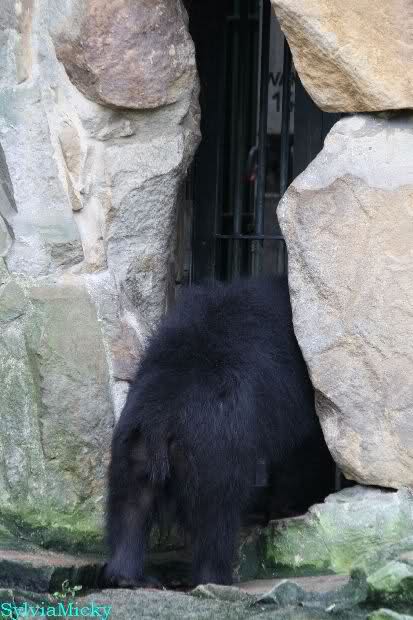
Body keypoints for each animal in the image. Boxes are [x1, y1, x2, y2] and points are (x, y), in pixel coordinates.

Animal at [103, 275, 333, 587]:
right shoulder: (294, 402)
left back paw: (129, 576)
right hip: (213, 451)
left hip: (133, 442)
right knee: (214, 517)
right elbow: (302, 455)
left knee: (130, 503)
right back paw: (216, 577)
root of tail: (161, 417)